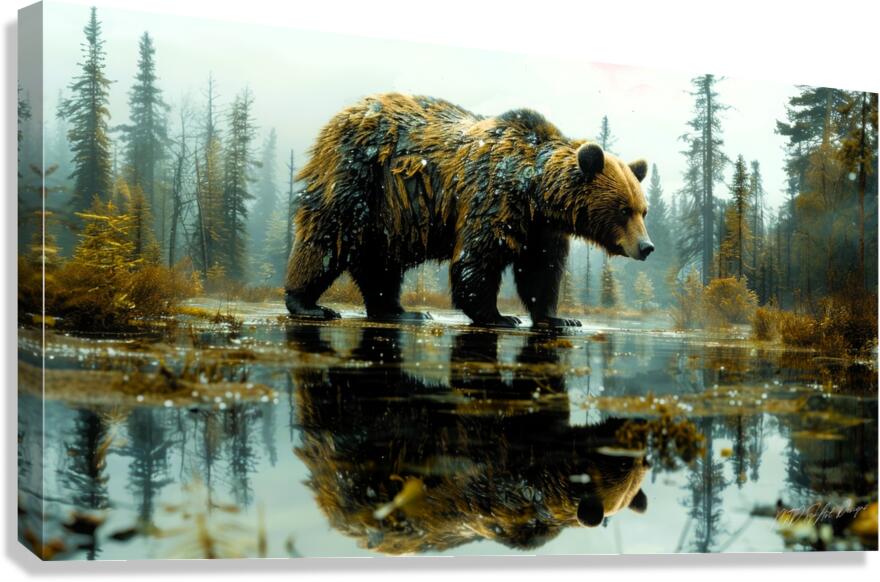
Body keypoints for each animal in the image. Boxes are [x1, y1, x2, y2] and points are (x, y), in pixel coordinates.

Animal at [285, 93, 653, 328]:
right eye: (623, 209)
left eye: (643, 210)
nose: (646, 246)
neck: (534, 191)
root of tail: (339, 117)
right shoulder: (493, 197)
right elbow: (478, 258)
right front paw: (501, 316)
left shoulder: (541, 228)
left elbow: (541, 272)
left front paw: (560, 317)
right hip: (361, 178)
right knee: (327, 237)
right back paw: (309, 304)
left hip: (391, 215)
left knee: (380, 262)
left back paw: (400, 311)